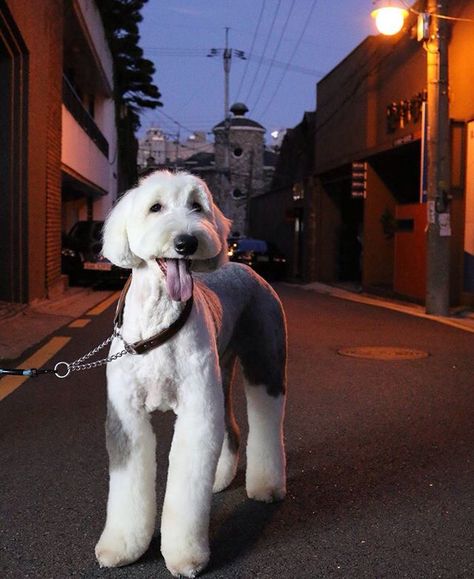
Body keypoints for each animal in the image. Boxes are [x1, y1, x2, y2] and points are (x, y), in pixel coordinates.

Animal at [93, 170, 286, 576]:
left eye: (197, 206)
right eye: (155, 207)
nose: (186, 242)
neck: (159, 318)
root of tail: (242, 265)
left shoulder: (197, 410)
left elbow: (187, 482)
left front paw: (185, 556)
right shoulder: (126, 414)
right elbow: (128, 481)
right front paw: (121, 548)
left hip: (265, 358)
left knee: (266, 418)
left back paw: (267, 487)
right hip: (220, 370)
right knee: (231, 427)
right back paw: (220, 479)